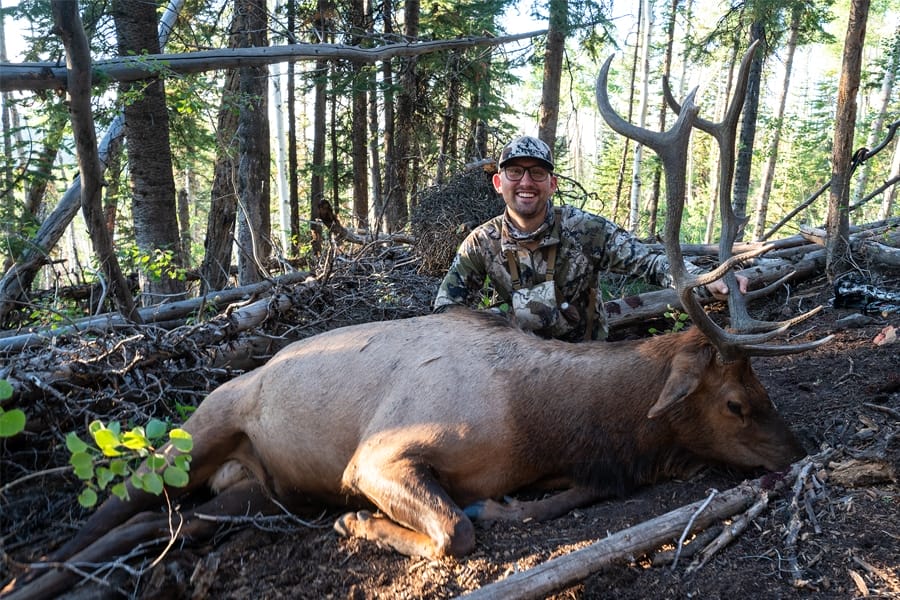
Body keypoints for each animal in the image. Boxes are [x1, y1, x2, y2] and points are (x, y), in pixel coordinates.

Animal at [3, 45, 828, 600]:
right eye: (736, 402)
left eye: (764, 392)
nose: (802, 449)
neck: (547, 423)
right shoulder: (375, 457)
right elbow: (454, 529)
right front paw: (357, 527)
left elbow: (531, 503)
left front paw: (507, 504)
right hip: (199, 426)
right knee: (110, 508)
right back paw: (33, 572)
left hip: (257, 489)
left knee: (154, 525)